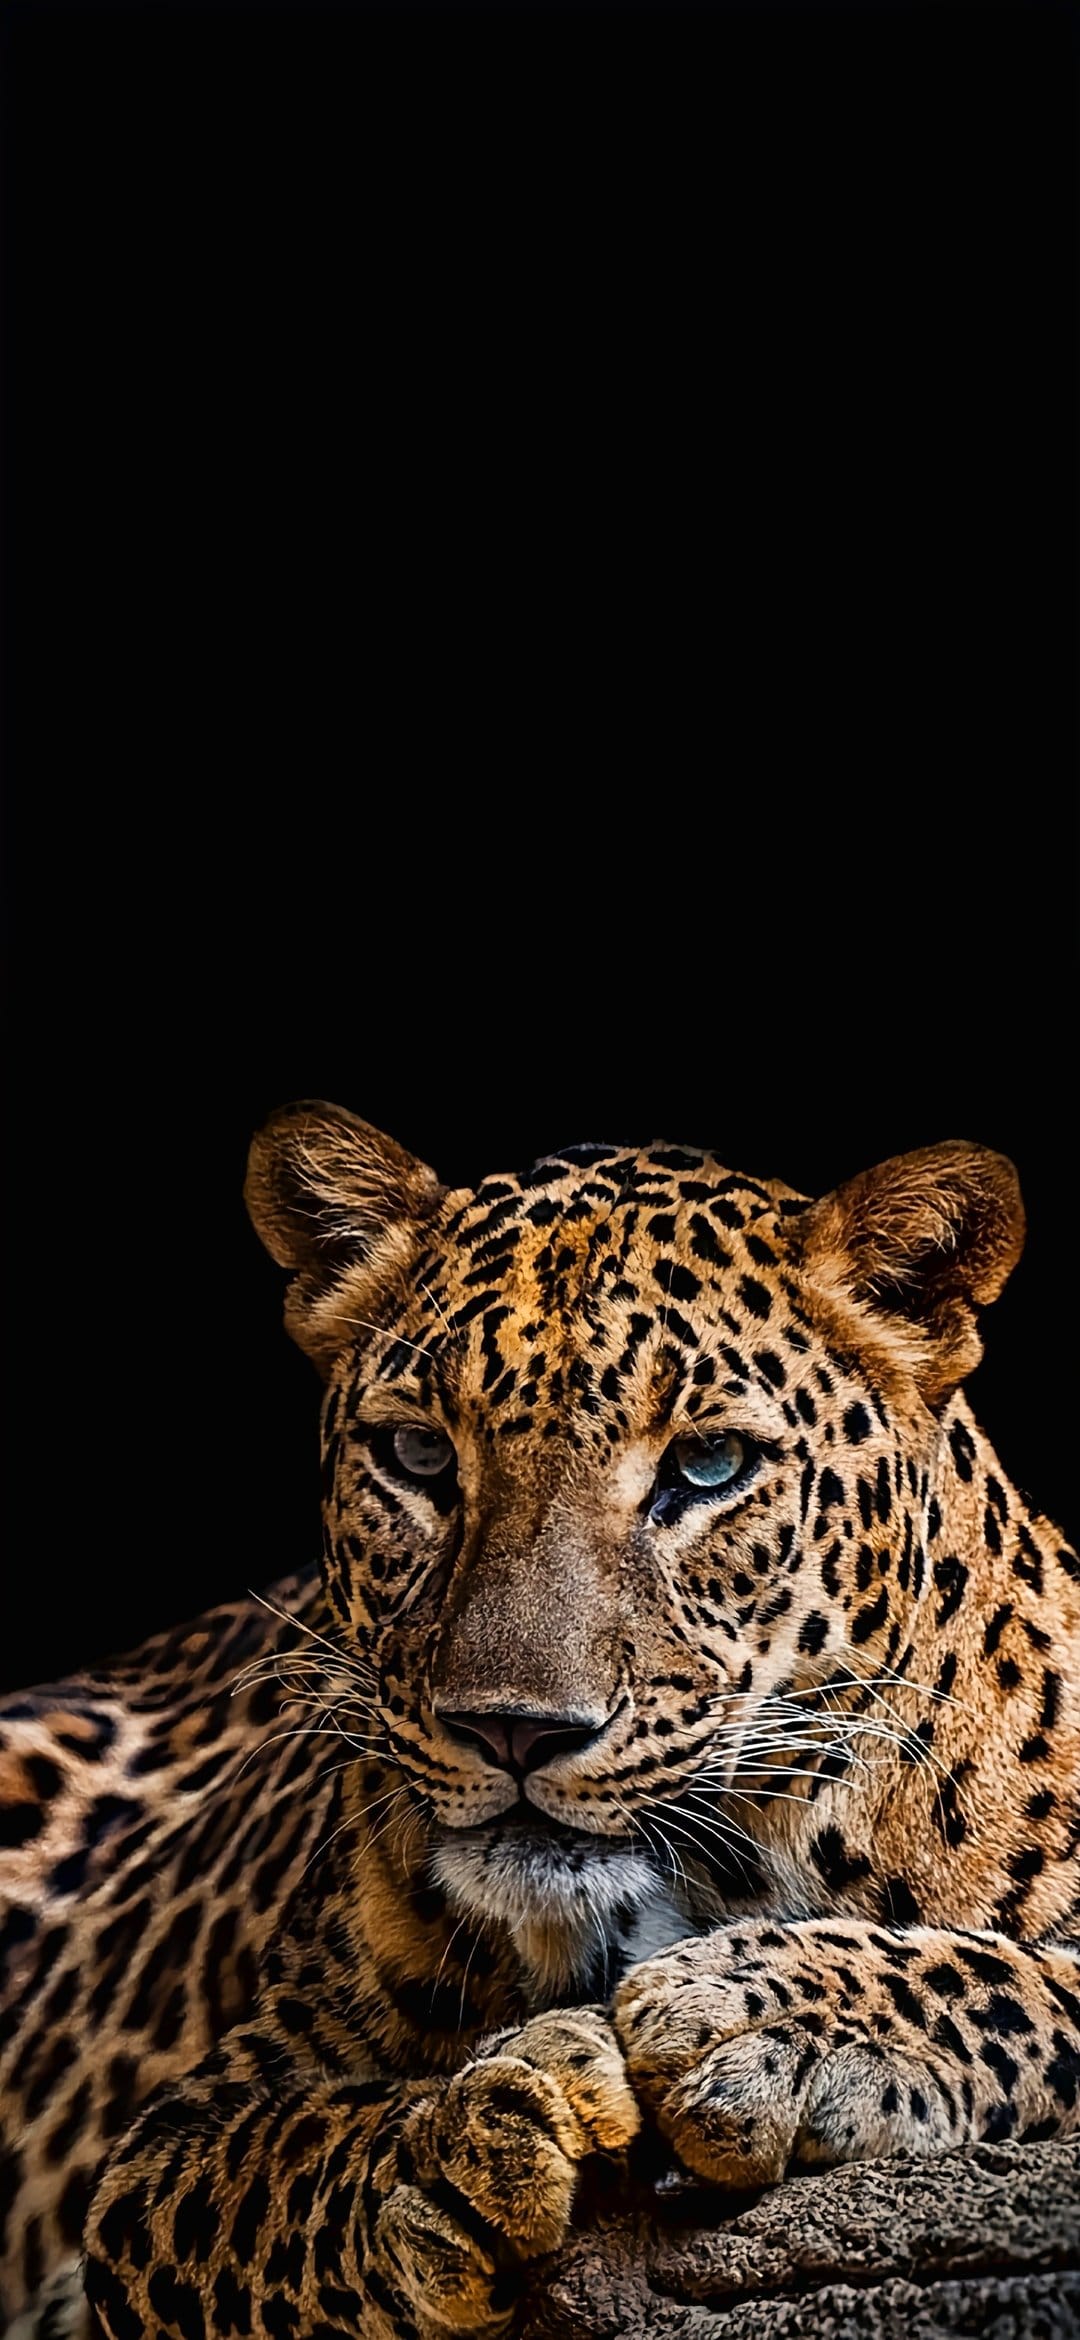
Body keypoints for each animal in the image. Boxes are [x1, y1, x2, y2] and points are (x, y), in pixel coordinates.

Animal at [2, 1100, 1078, 2340]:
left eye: (710, 1464)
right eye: (419, 1454)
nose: (515, 1731)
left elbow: (1025, 1980)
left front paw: (767, 2019)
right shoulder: (169, 2151)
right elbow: (295, 2162)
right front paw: (460, 2147)